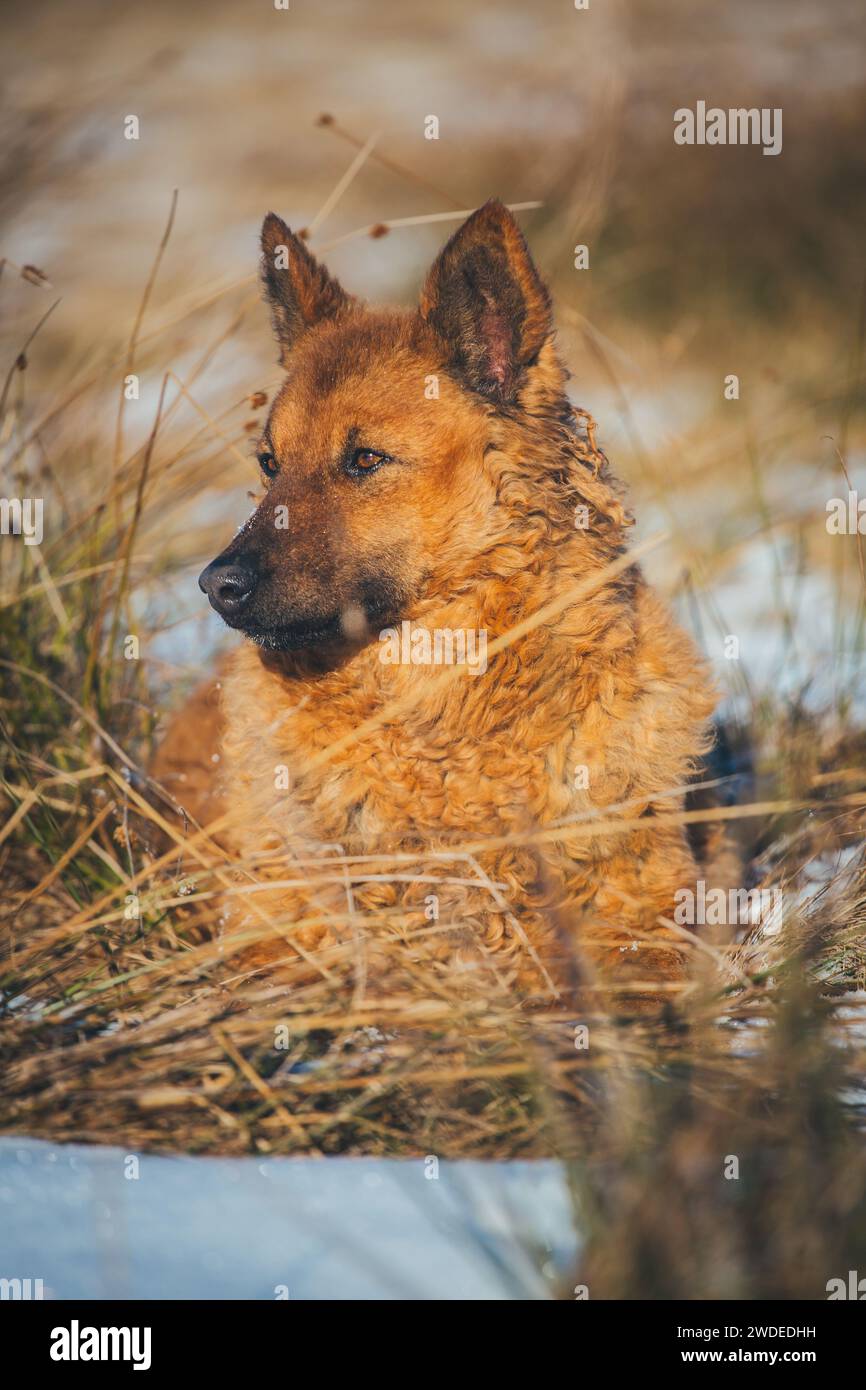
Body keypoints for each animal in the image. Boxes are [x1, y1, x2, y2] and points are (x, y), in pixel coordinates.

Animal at [152, 198, 722, 1000]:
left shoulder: (648, 920)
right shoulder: (270, 937)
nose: (215, 586)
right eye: (269, 464)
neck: (440, 720)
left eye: (364, 459)